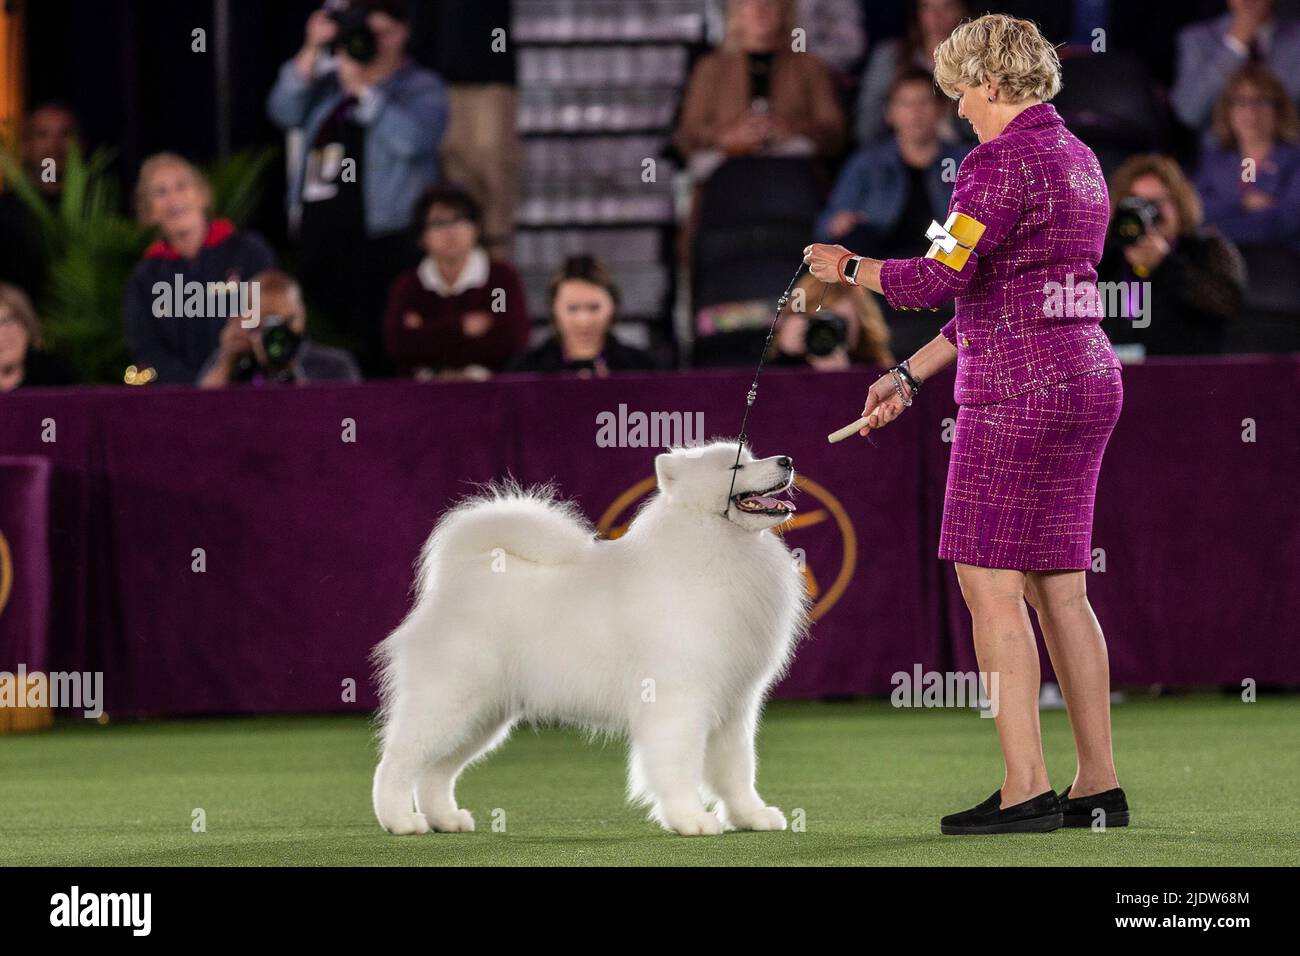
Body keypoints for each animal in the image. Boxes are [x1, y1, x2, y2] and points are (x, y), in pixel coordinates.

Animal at [371, 442, 806, 837]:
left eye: (753, 456)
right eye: (736, 466)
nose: (787, 459)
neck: (715, 544)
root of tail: (462, 575)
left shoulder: (735, 706)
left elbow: (737, 770)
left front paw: (751, 816)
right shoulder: (680, 701)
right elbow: (679, 766)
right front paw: (691, 820)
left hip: (482, 715)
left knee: (436, 772)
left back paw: (446, 819)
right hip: (449, 702)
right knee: (397, 762)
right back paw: (401, 821)